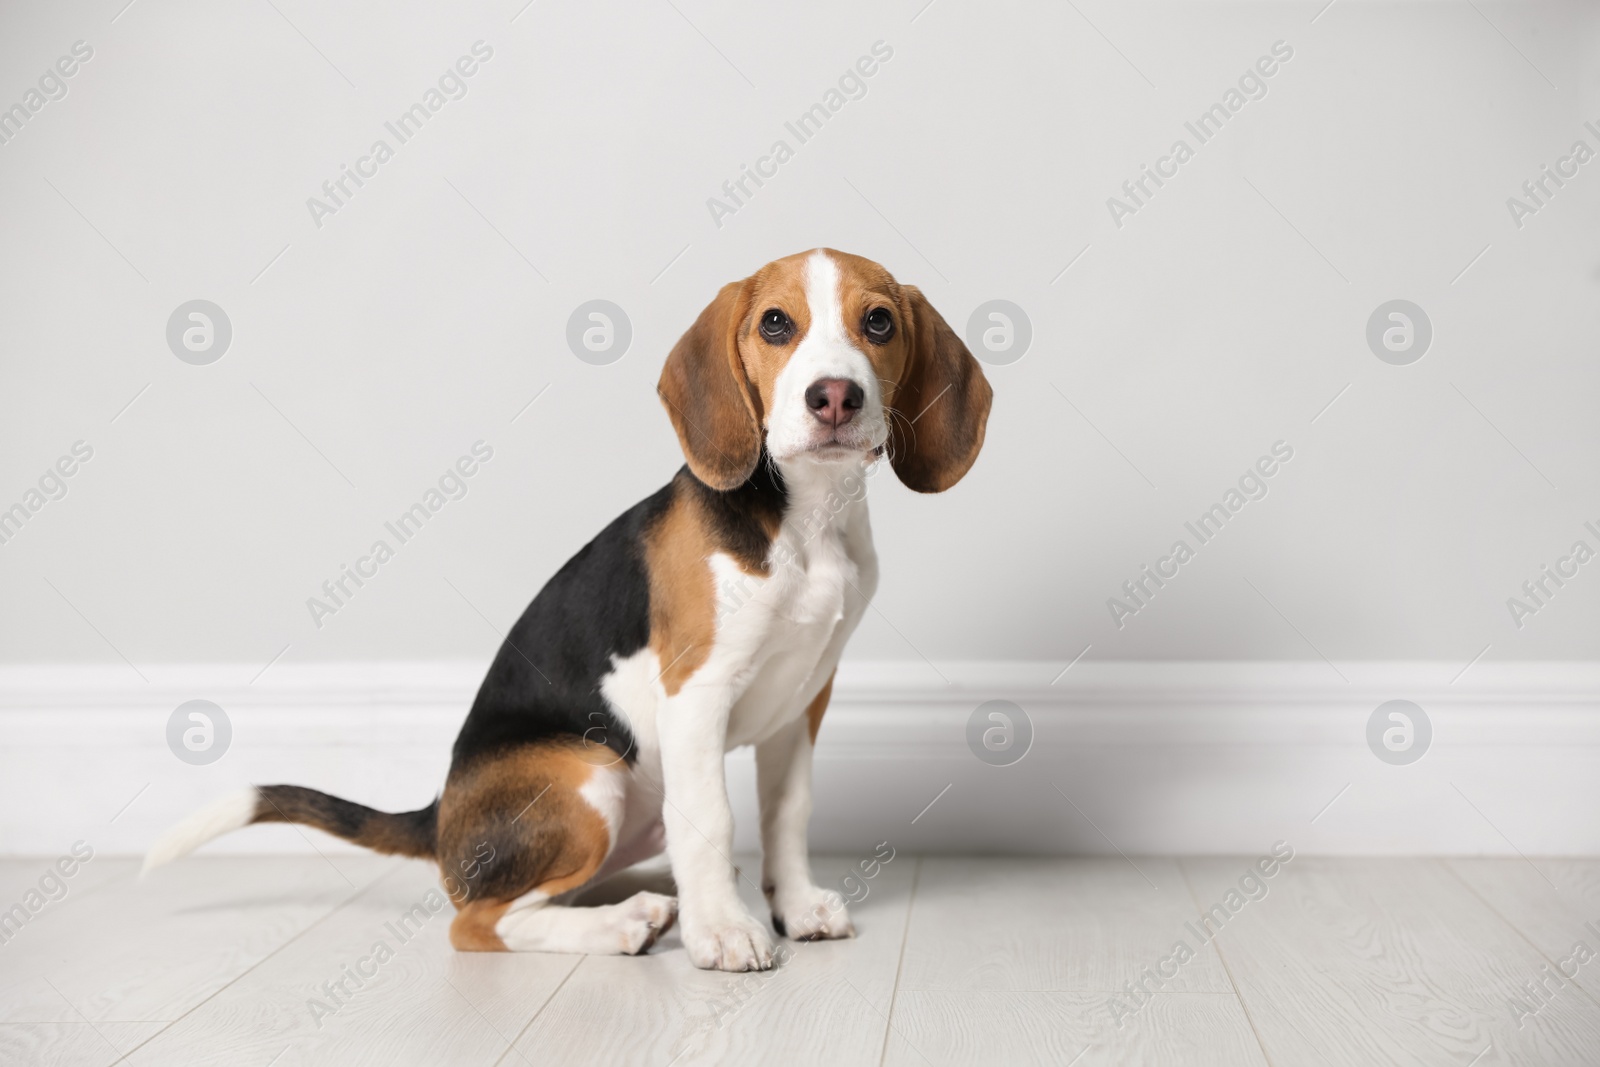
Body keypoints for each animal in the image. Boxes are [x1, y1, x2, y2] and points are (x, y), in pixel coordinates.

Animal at [152, 254, 998, 972]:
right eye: (775, 325)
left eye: (879, 322)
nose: (834, 396)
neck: (808, 519)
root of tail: (440, 813)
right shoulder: (696, 694)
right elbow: (715, 815)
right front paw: (725, 931)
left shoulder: (803, 699)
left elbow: (787, 812)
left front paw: (790, 905)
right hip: (592, 777)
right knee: (479, 921)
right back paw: (625, 923)